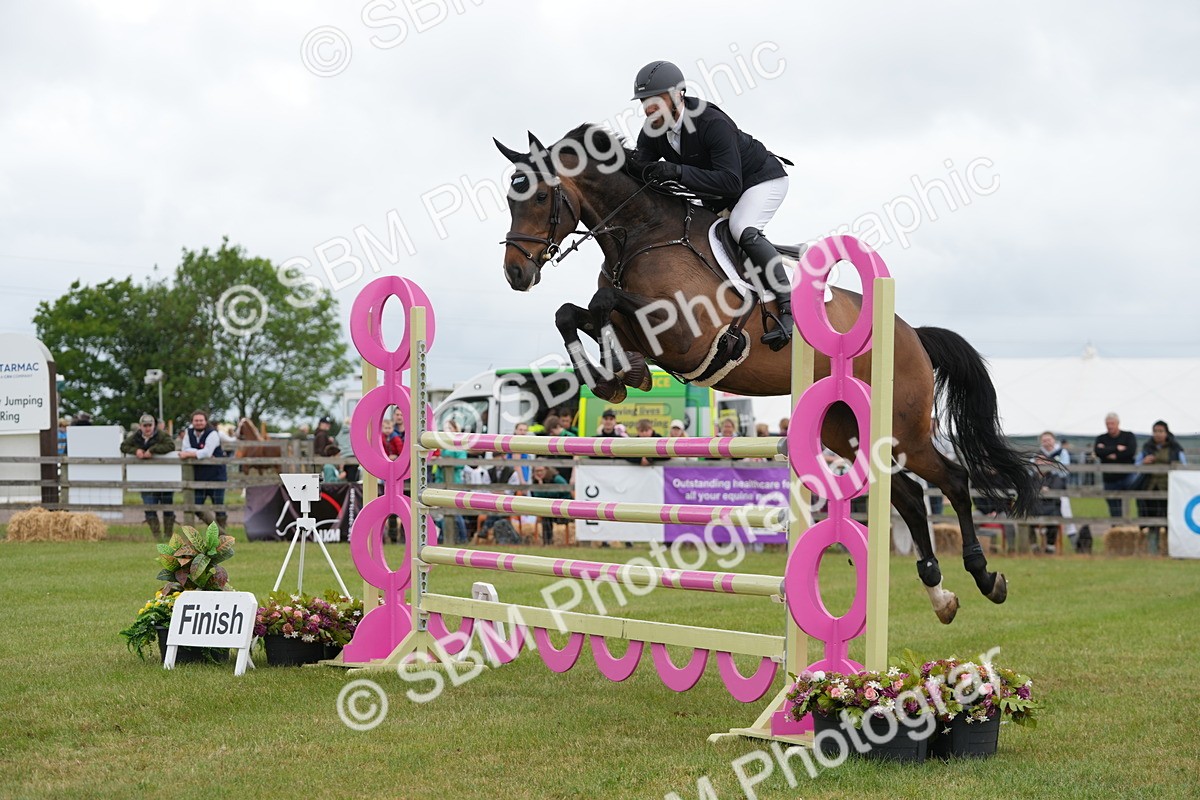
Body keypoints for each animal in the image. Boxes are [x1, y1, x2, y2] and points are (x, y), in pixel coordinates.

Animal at [494, 124, 1040, 625]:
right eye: (510, 197)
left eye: (539, 195)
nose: (516, 274)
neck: (644, 234)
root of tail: (910, 334)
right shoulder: (642, 331)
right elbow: (575, 312)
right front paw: (614, 377)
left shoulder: (690, 335)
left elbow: (604, 301)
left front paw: (620, 374)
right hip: (843, 429)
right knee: (906, 495)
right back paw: (940, 594)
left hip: (903, 428)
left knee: (952, 479)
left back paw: (985, 577)